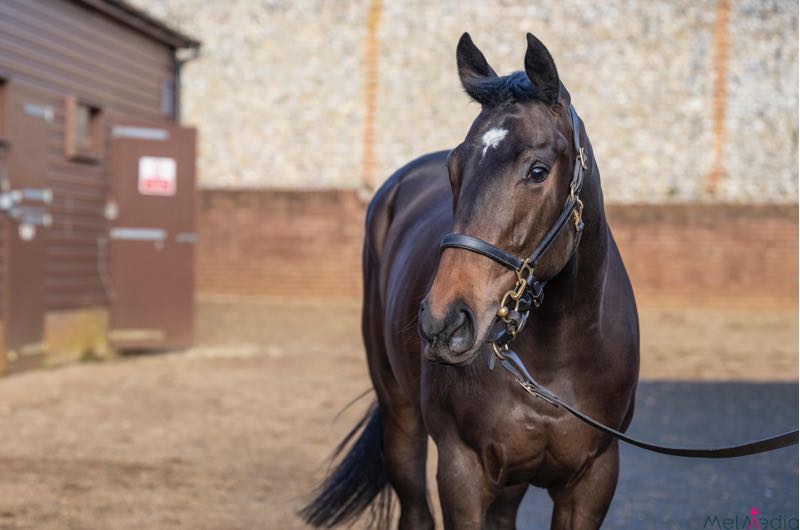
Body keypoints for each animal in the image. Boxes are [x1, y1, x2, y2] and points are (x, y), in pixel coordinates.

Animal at [301, 32, 640, 530]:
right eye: (454, 170)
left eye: (537, 171)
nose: (444, 323)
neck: (555, 361)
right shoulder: (462, 473)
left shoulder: (593, 480)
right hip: (400, 415)